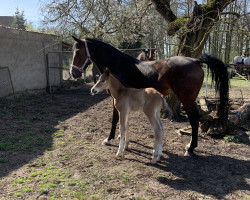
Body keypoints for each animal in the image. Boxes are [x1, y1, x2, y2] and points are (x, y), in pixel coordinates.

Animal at [70, 36, 229, 157]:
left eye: (77, 52)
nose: (73, 73)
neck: (118, 64)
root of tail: (196, 61)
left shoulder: (116, 100)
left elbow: (115, 119)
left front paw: (109, 139)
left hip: (187, 100)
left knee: (194, 119)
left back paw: (190, 148)